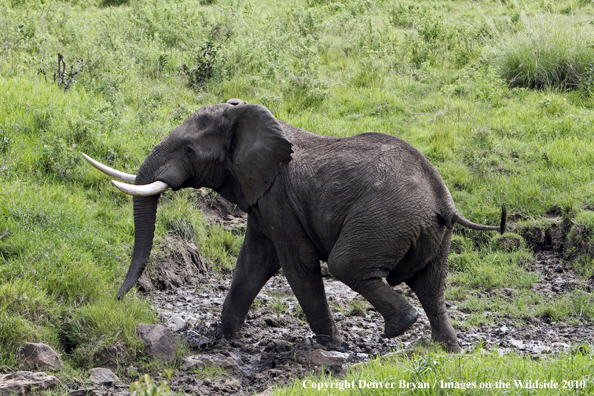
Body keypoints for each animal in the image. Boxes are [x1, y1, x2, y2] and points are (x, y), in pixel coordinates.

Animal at [83, 99, 504, 352]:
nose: (119, 299)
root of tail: (443, 200)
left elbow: (295, 263)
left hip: (385, 217)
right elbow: (252, 261)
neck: (253, 120)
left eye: (189, 150)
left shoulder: (280, 199)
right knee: (431, 284)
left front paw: (332, 346)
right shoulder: (262, 198)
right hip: (430, 232)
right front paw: (223, 340)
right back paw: (446, 348)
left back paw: (400, 328)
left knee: (347, 266)